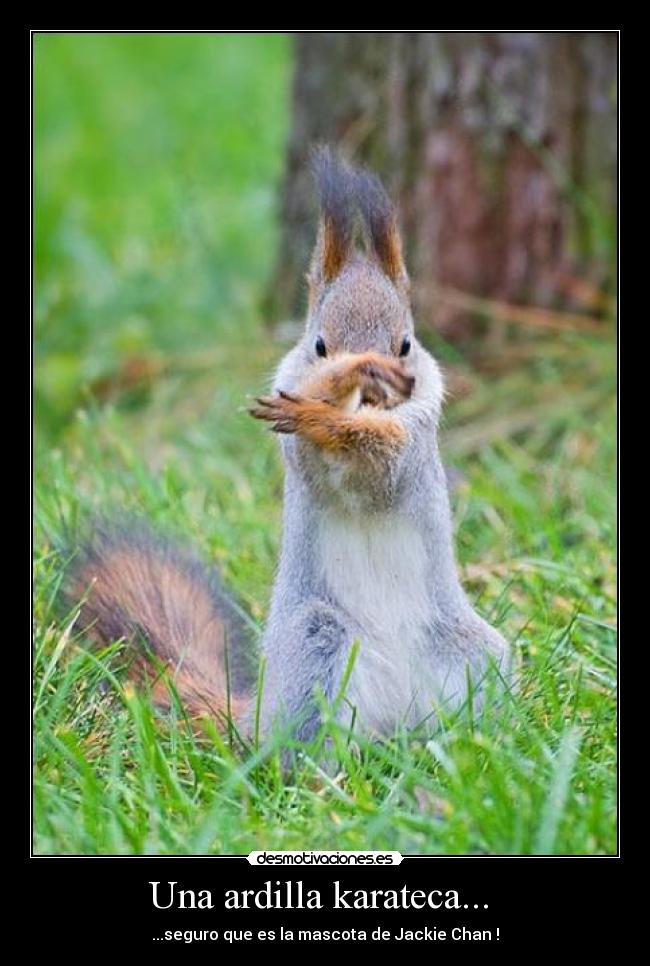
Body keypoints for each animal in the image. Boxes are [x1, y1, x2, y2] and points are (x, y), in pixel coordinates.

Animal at [68, 148, 509, 744]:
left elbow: (383, 468)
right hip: (315, 641)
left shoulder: (417, 438)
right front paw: (329, 396)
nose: (372, 390)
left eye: (406, 344)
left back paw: (466, 743)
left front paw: (339, 419)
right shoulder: (296, 443)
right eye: (318, 344)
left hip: (473, 656)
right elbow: (316, 455)